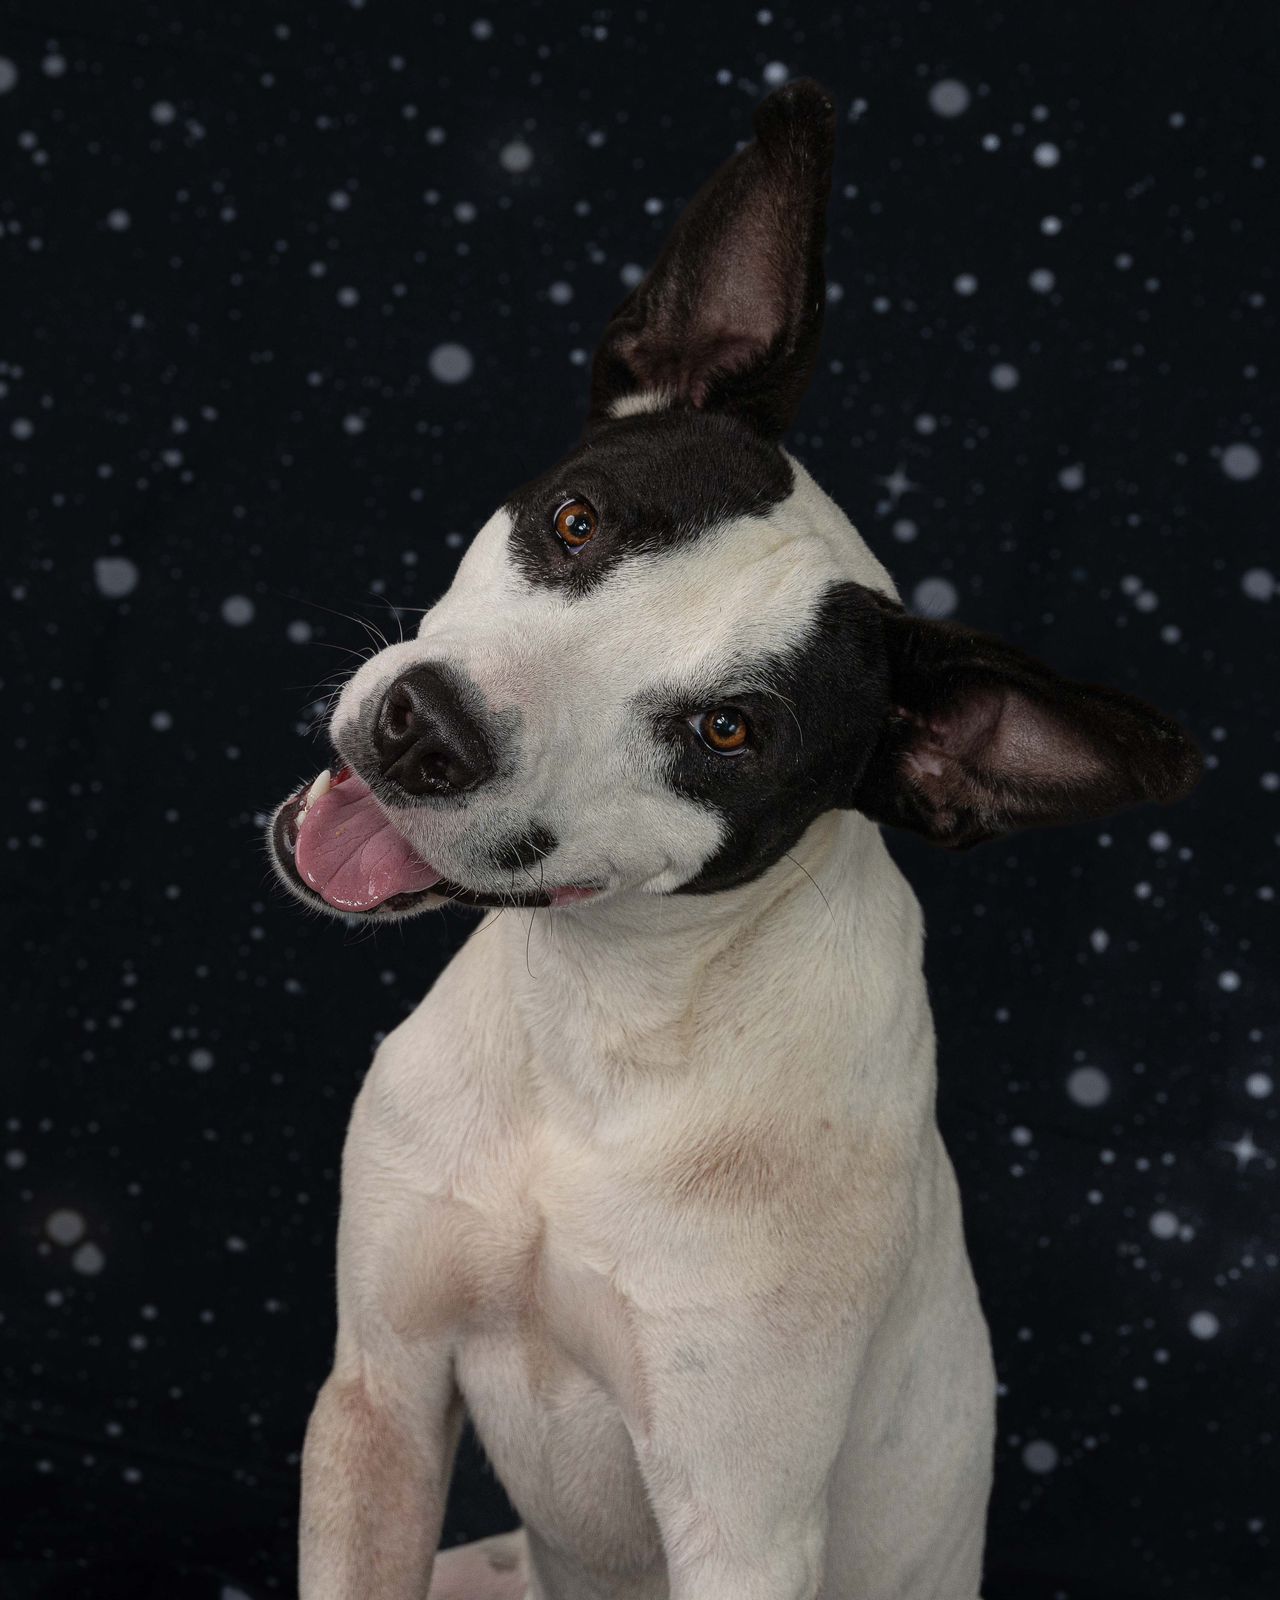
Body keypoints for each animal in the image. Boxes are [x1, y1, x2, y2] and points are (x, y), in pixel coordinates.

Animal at [267, 80, 1201, 1600]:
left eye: (727, 732)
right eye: (575, 520)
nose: (424, 728)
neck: (604, 1031)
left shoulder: (740, 1523)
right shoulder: (379, 1400)